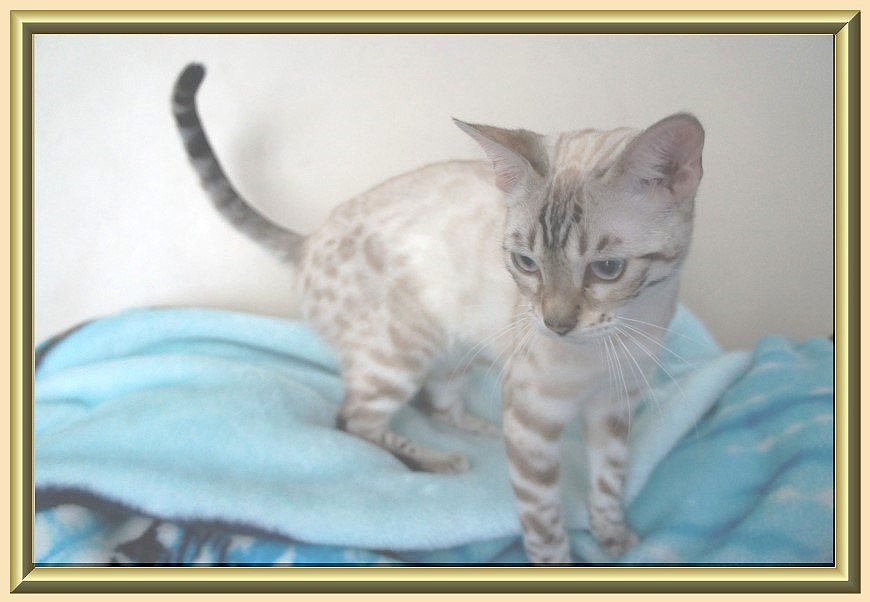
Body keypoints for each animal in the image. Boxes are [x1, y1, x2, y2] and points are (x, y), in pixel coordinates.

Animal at [174, 63, 704, 560]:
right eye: (526, 263)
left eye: (607, 269)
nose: (555, 324)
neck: (612, 343)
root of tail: (309, 240)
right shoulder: (533, 422)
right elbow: (544, 522)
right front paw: (559, 559)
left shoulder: (614, 409)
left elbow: (609, 483)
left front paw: (613, 537)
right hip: (399, 355)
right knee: (353, 422)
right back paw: (441, 460)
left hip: (455, 351)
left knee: (436, 403)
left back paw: (482, 432)